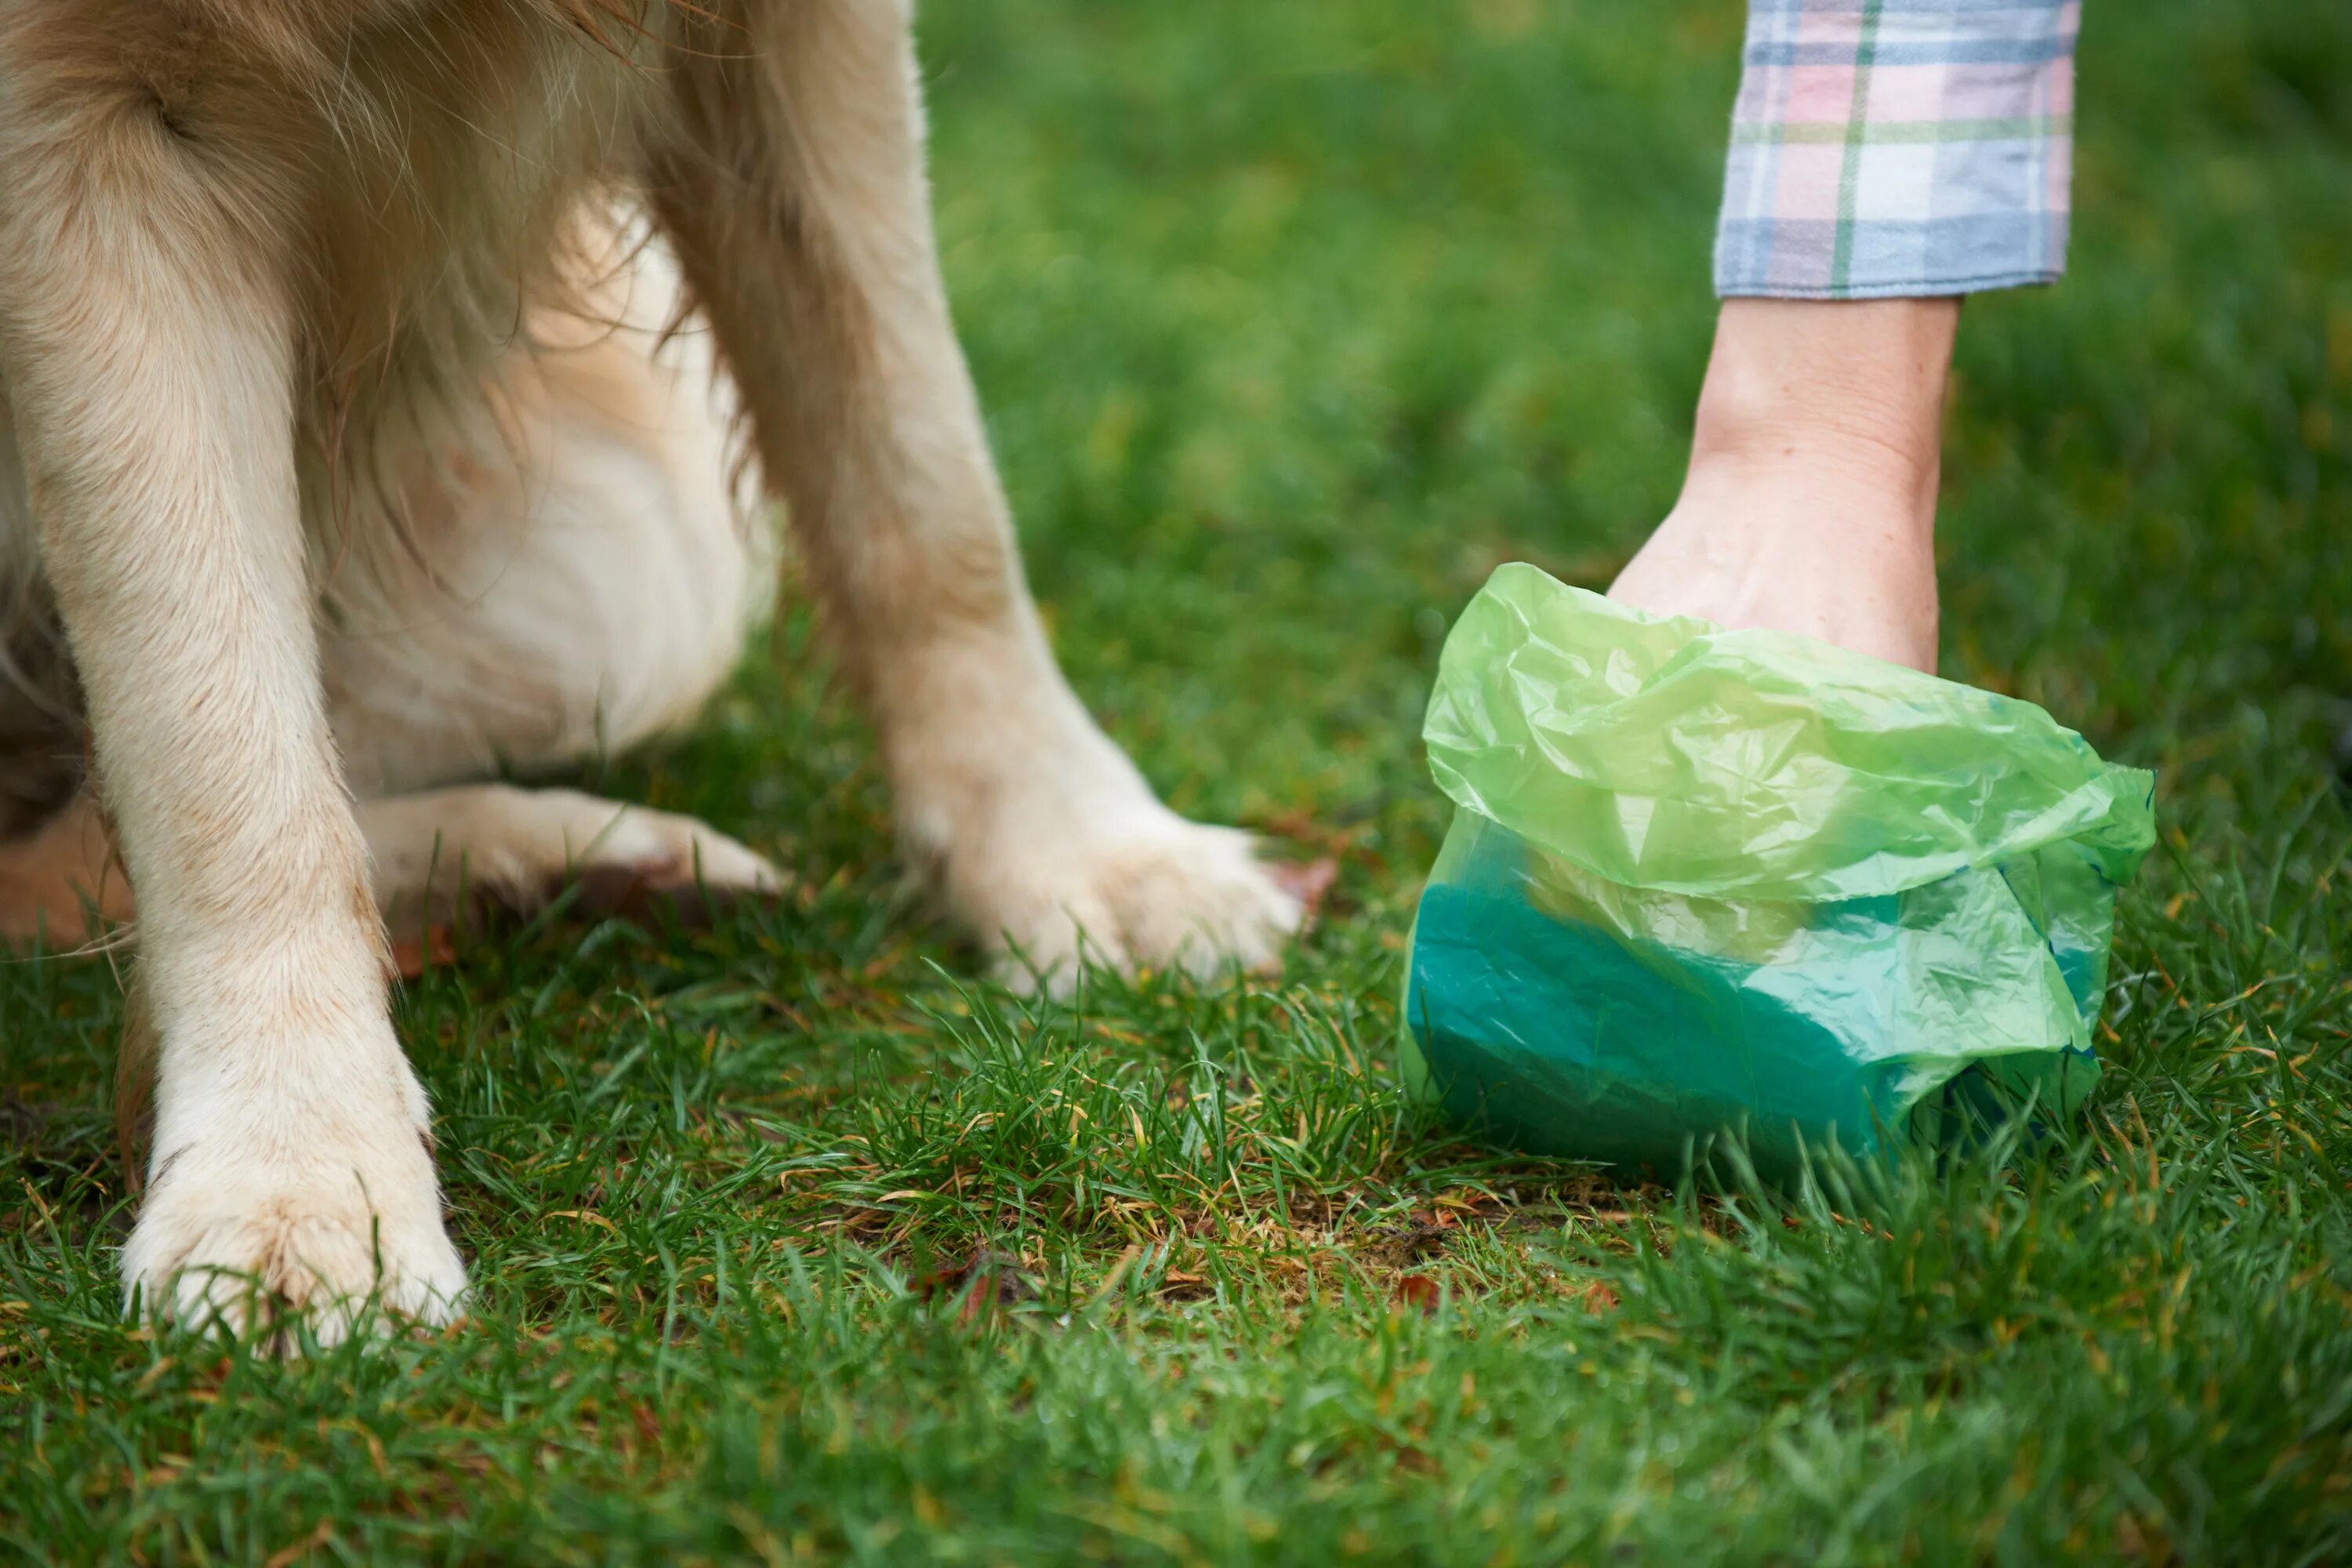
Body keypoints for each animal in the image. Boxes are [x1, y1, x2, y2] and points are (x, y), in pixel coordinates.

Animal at [0, 0, 1308, 1354]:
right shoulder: (76, 126)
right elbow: (217, 744)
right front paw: (297, 1178)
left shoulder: (796, 50)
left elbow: (921, 477)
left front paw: (1080, 854)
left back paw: (586, 870)